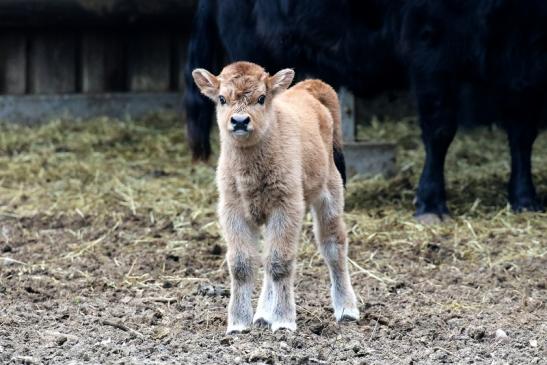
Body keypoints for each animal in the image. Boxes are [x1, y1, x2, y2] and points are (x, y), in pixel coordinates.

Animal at [193, 61, 360, 332]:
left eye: (262, 98)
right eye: (221, 99)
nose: (240, 121)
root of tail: (308, 88)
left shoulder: (286, 207)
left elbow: (280, 262)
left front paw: (283, 321)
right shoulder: (233, 211)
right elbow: (242, 264)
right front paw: (239, 323)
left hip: (330, 196)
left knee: (333, 246)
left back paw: (346, 310)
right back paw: (262, 315)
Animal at [398, 0, 547, 220]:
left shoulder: (523, 50)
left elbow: (523, 131)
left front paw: (525, 200)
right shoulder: (431, 34)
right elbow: (439, 129)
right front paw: (431, 205)